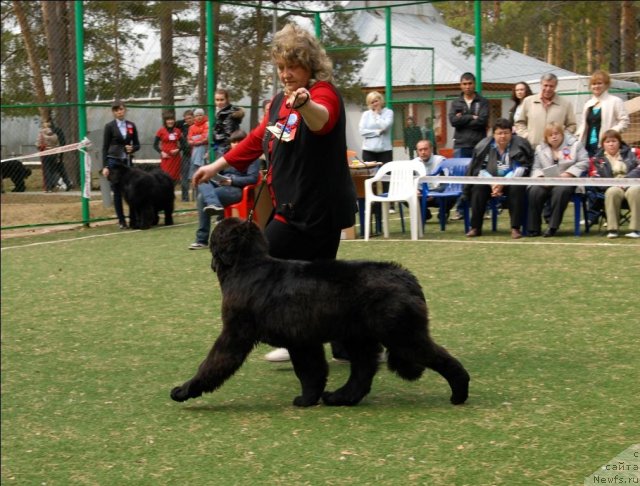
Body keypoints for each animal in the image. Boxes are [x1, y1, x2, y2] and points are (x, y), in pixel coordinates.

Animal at [170, 218, 470, 408]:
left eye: (214, 235)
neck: (246, 266)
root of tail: (407, 277)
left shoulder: (235, 334)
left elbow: (212, 364)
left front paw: (183, 390)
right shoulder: (303, 341)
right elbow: (311, 372)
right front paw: (308, 399)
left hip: (401, 335)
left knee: (441, 359)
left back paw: (459, 394)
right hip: (359, 337)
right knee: (362, 373)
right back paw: (339, 398)